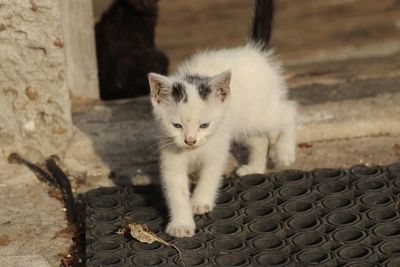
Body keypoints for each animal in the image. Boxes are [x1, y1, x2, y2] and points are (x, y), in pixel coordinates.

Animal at [148, 0, 296, 239]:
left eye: (204, 125)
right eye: (177, 126)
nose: (190, 140)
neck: (194, 151)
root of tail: (254, 52)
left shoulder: (217, 147)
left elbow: (210, 175)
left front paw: (200, 201)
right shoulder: (170, 154)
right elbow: (176, 190)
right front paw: (181, 224)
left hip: (260, 113)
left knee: (289, 112)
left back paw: (285, 151)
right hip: (243, 121)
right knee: (259, 138)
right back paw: (254, 167)